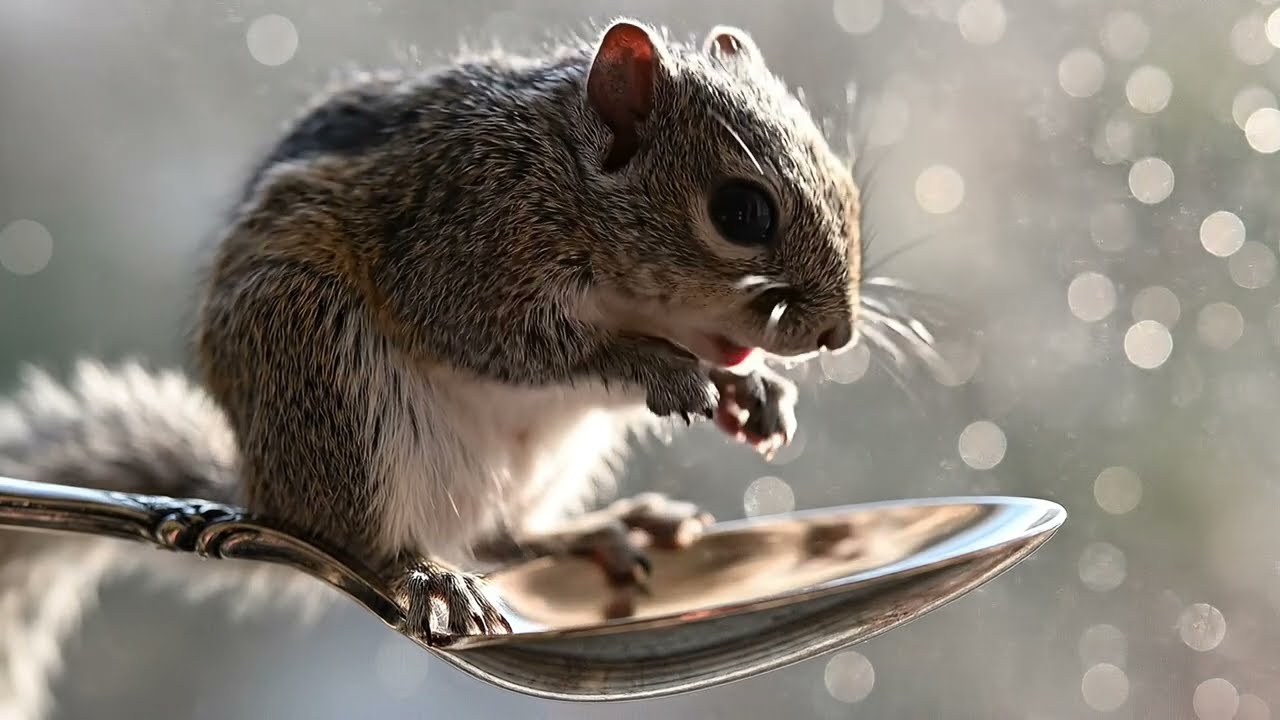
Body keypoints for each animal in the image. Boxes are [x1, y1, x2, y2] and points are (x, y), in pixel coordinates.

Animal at [0, 18, 861, 720]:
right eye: (741, 213)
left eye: (847, 187)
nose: (836, 335)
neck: (566, 173)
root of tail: (266, 496)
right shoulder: (464, 245)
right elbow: (526, 346)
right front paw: (662, 367)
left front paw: (754, 393)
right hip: (321, 366)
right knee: (375, 543)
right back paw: (424, 575)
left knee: (505, 535)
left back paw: (599, 529)